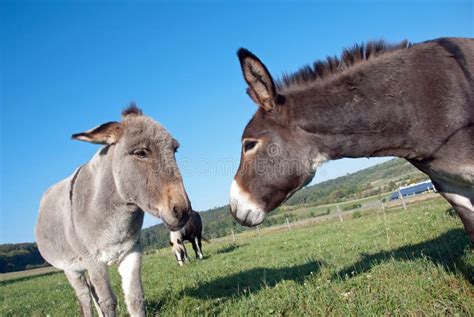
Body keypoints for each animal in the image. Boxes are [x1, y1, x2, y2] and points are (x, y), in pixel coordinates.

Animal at [35, 105, 191, 316]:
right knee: (84, 296)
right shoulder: (94, 261)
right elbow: (108, 302)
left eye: (175, 150)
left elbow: (135, 298)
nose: (183, 211)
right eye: (141, 152)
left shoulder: (132, 252)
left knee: (92, 293)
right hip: (71, 268)